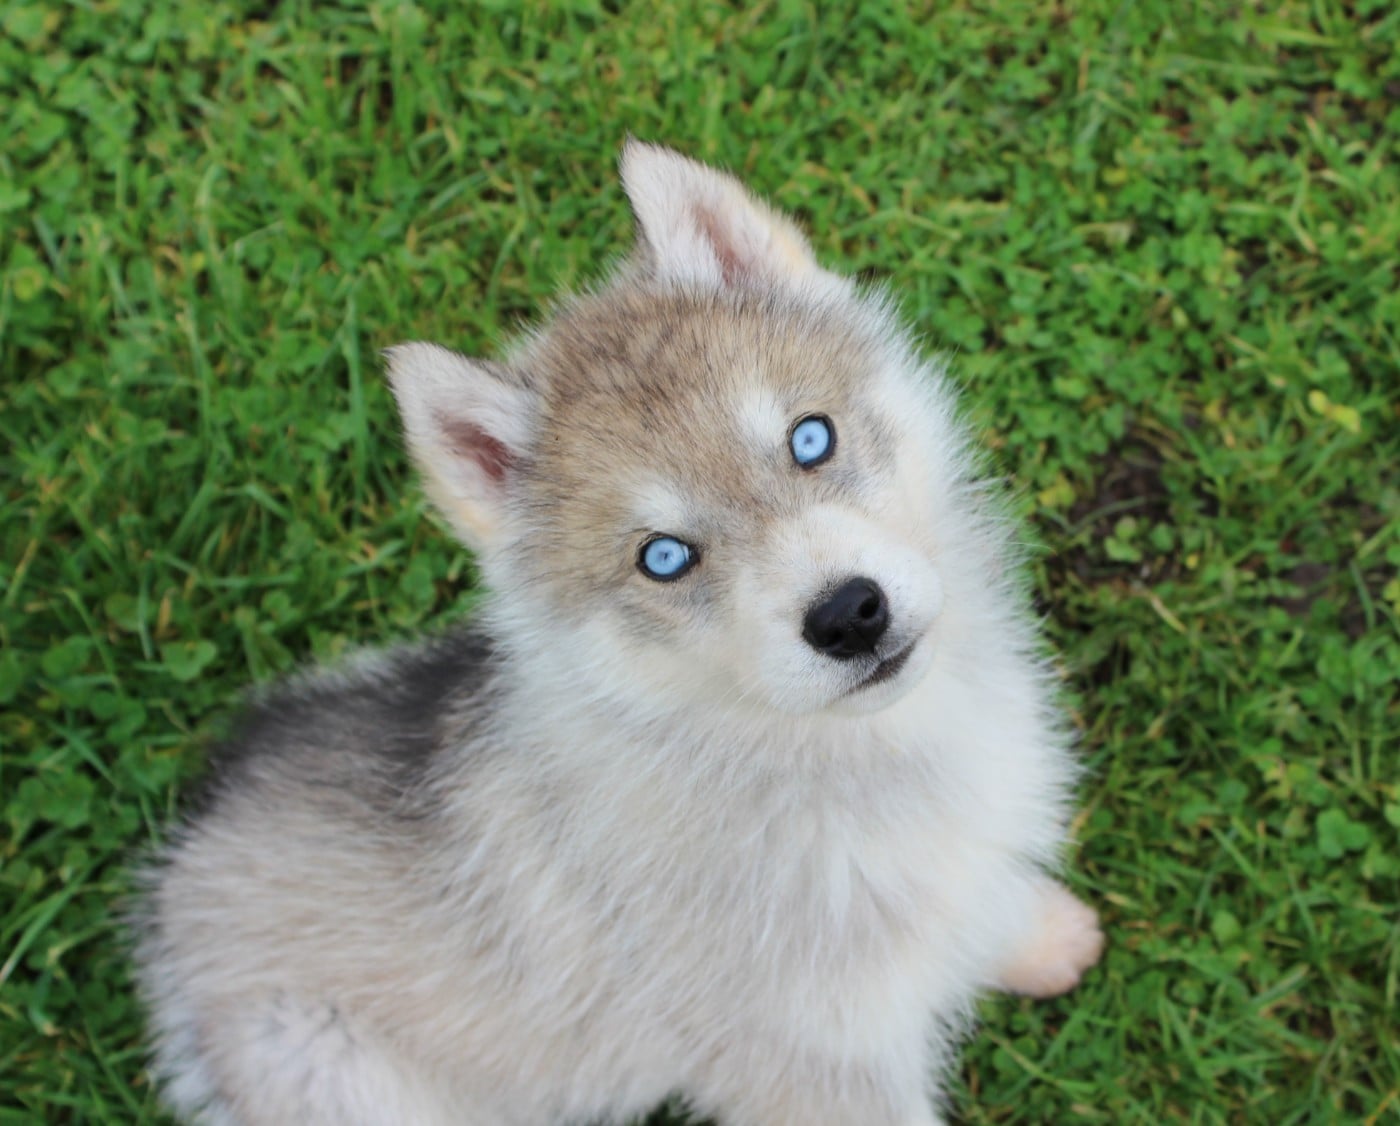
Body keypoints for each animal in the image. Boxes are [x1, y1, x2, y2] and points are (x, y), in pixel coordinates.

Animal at [133, 141, 1103, 1126]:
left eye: (810, 438)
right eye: (664, 557)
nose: (847, 615)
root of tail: (176, 878)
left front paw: (1038, 937)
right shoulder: (818, 1069)